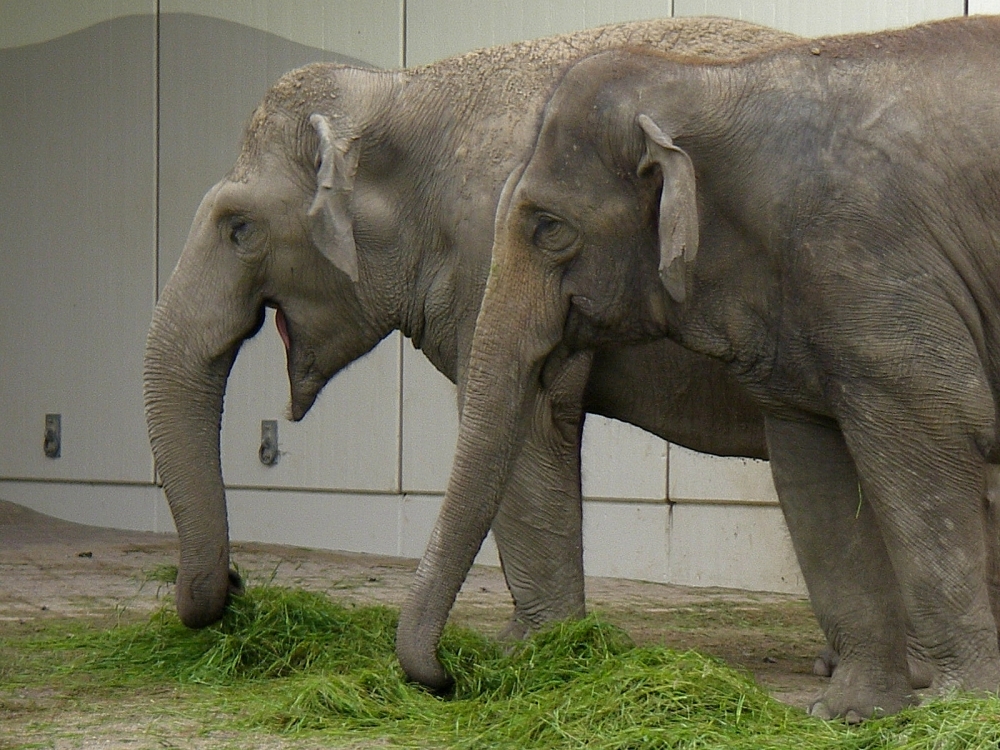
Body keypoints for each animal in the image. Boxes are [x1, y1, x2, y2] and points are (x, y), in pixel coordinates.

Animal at [143, 17, 796, 636]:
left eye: (239, 227)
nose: (236, 581)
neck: (404, 90)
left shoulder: (503, 251)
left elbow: (530, 418)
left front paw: (531, 647)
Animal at [396, 14, 1000, 724]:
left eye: (549, 227)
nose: (447, 676)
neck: (705, 83)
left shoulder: (870, 261)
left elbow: (931, 440)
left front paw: (963, 710)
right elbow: (812, 472)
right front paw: (851, 715)